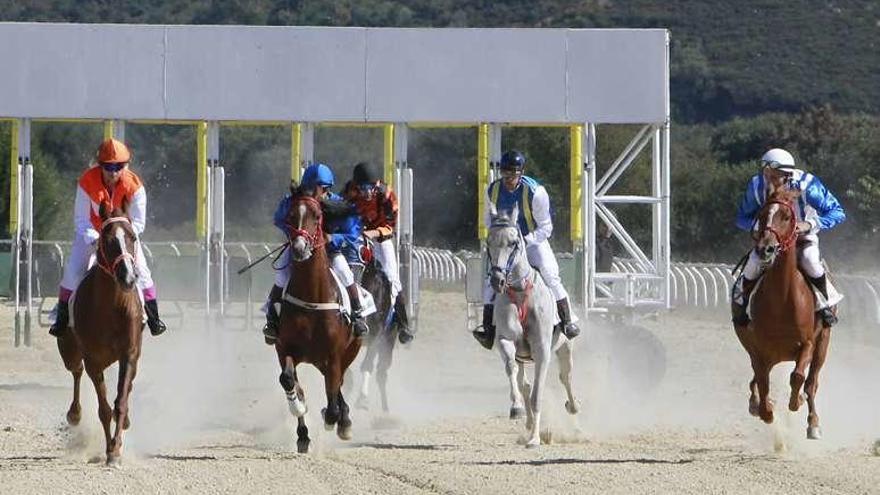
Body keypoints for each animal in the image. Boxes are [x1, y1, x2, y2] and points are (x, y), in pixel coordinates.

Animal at [56, 202, 144, 464]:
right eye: (108, 239)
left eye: (132, 237)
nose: (128, 277)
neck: (111, 307)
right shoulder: (93, 360)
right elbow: (104, 409)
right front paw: (110, 449)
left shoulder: (129, 353)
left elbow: (120, 401)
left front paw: (116, 446)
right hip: (70, 352)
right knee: (76, 371)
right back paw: (74, 414)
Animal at [274, 192, 360, 456]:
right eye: (291, 215)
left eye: (318, 215)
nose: (299, 248)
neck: (312, 295)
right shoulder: (284, 348)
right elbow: (288, 381)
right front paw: (300, 414)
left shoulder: (333, 355)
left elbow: (332, 400)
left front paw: (335, 418)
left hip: (348, 352)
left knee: (338, 383)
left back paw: (344, 421)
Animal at [484, 205, 580, 450]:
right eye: (489, 241)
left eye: (513, 242)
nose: (497, 280)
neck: (519, 291)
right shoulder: (506, 341)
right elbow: (511, 368)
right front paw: (516, 408)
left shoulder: (542, 350)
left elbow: (538, 394)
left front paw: (535, 439)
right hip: (524, 357)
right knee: (523, 382)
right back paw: (527, 420)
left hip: (565, 348)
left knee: (566, 377)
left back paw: (573, 406)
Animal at [736, 188, 832, 440]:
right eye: (761, 215)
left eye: (787, 216)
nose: (765, 248)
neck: (782, 300)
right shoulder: (760, 349)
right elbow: (762, 382)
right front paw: (765, 409)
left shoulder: (808, 342)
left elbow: (798, 377)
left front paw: (796, 401)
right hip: (761, 351)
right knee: (758, 377)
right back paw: (757, 403)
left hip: (823, 343)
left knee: (812, 382)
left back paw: (813, 422)